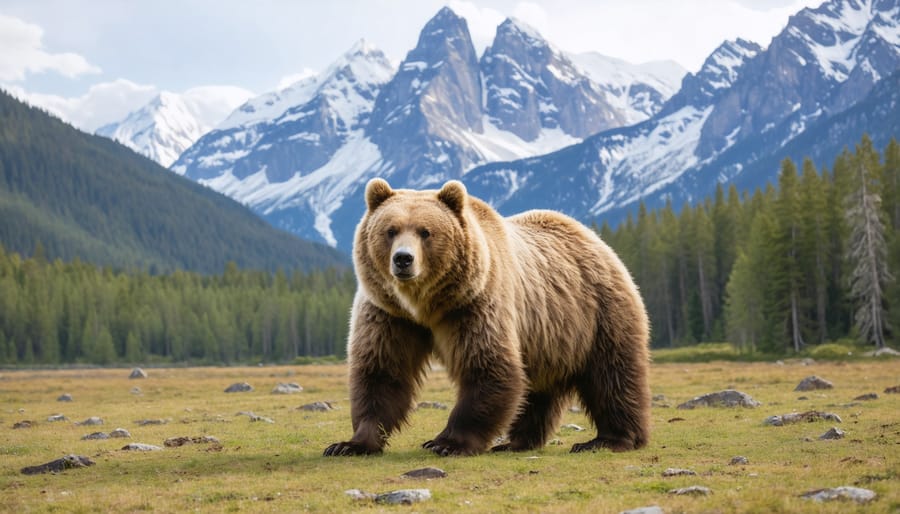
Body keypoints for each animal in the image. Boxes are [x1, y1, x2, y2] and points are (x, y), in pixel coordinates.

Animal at [326, 178, 652, 454]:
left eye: (425, 231)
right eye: (390, 230)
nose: (403, 259)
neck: (425, 305)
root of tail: (595, 239)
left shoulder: (475, 304)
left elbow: (488, 366)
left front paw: (447, 443)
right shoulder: (389, 313)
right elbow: (381, 371)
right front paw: (349, 444)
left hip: (600, 313)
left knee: (612, 375)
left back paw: (610, 439)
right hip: (547, 336)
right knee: (537, 390)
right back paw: (515, 443)